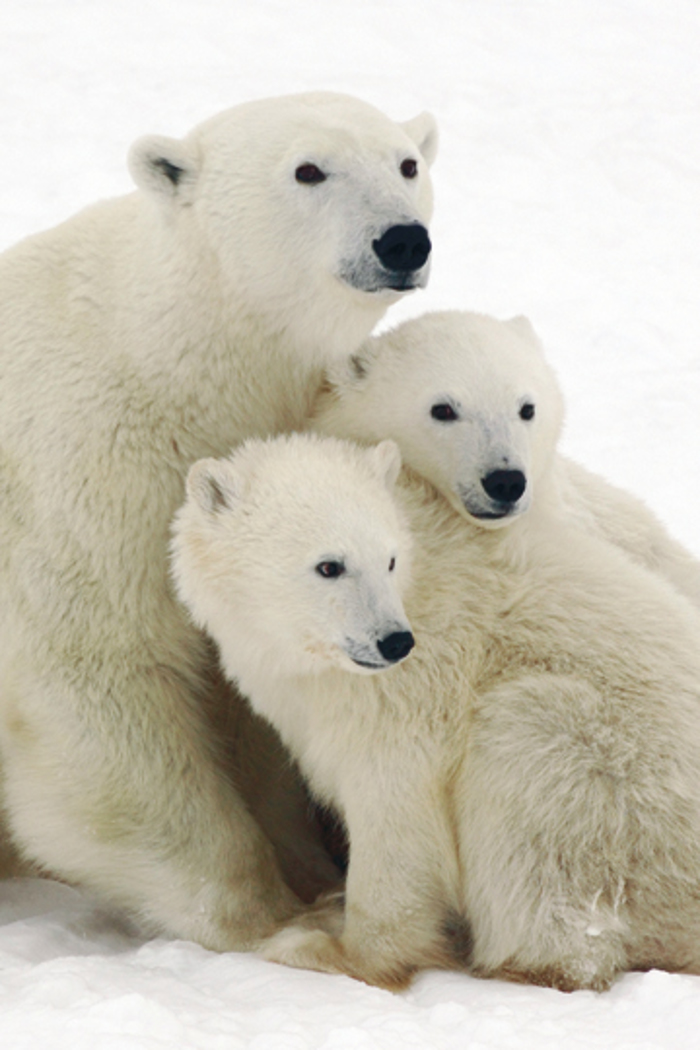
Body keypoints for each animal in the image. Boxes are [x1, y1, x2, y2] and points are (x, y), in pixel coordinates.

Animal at [0, 91, 438, 950]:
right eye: (308, 169)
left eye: (407, 163)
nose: (403, 239)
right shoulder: (80, 476)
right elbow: (96, 679)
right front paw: (276, 921)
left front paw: (311, 871)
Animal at [171, 372, 700, 991]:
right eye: (330, 565)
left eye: (390, 559)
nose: (394, 641)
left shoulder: (412, 696)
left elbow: (396, 807)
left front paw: (331, 945)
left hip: (615, 787)